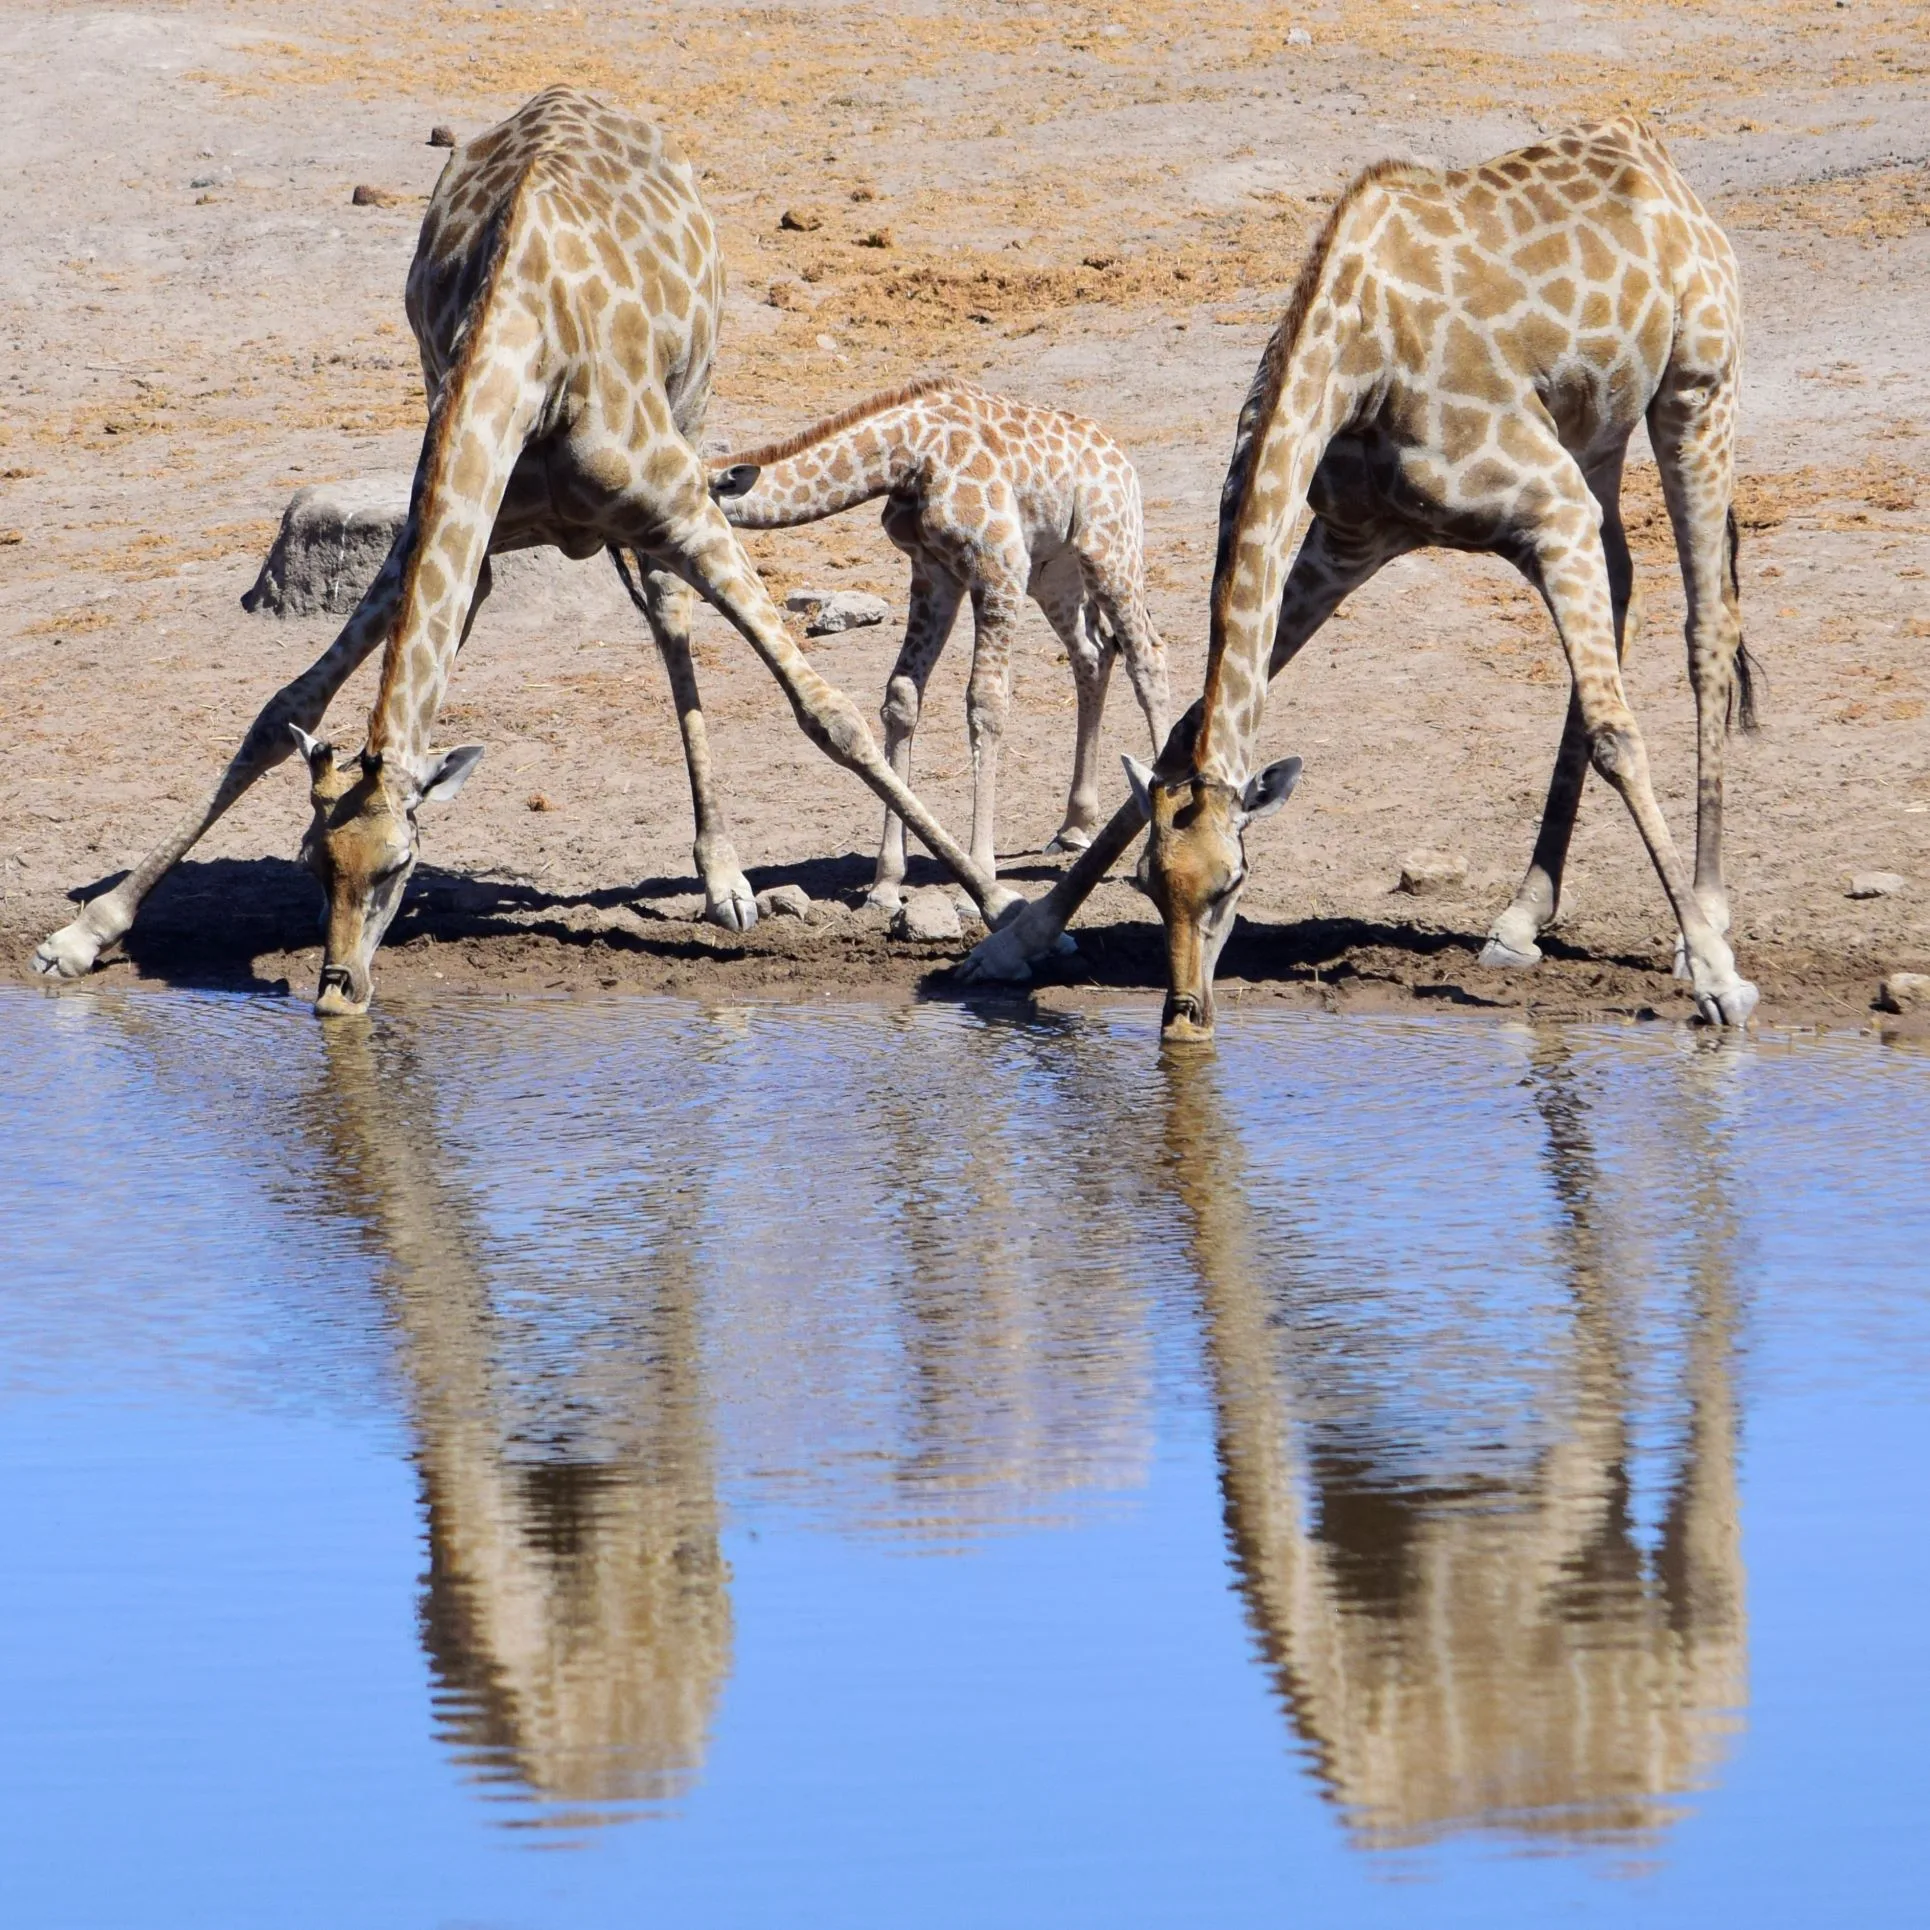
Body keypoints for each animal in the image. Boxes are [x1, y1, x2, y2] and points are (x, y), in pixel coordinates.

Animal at [32, 87, 1016, 1013]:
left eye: (398, 865)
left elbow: (829, 714)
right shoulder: (452, 534)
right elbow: (280, 709)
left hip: (695, 415)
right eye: (314, 860)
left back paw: (726, 880)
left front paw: (1001, 907)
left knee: (672, 619)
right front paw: (84, 933)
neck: (531, 360)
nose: (338, 990)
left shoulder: (686, 508)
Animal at [708, 377, 1172, 908]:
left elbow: (985, 704)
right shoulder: (934, 572)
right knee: (1093, 655)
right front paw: (886, 882)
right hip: (1054, 574)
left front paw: (981, 876)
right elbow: (901, 698)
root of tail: (1120, 456)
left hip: (1109, 551)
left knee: (1146, 657)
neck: (908, 456)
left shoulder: (999, 567)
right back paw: (1074, 826)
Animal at [961, 117, 1761, 1036]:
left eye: (1234, 884)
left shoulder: (1548, 510)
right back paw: (1523, 916)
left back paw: (1707, 919)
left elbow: (1616, 735)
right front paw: (1012, 943)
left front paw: (1717, 976)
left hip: (1697, 390)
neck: (1358, 366)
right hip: (1595, 438)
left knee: (1708, 626)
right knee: (1626, 586)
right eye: (1151, 885)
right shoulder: (1347, 540)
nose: (1185, 1015)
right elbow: (1185, 728)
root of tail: (1657, 164)